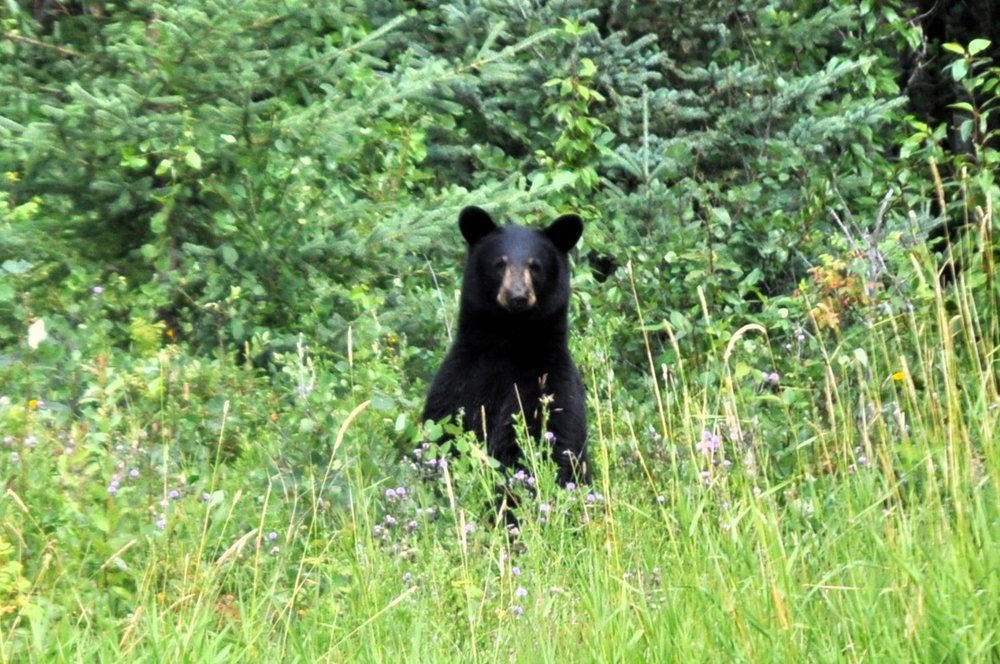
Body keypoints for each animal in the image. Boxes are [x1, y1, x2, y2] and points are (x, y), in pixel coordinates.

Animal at [420, 205, 588, 490]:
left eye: (535, 266)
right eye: (500, 263)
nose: (517, 296)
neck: (508, 340)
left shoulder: (550, 384)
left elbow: (551, 441)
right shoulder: (459, 383)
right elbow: (444, 430)